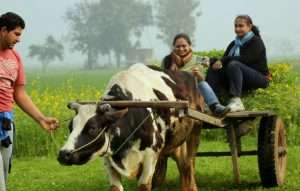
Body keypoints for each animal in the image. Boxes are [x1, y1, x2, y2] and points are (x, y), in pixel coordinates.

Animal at [58, 63, 204, 190]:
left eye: (93, 128)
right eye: (70, 127)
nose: (63, 154)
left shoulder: (150, 156)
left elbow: (144, 185)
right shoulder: (109, 160)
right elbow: (115, 187)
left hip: (194, 133)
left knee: (188, 166)